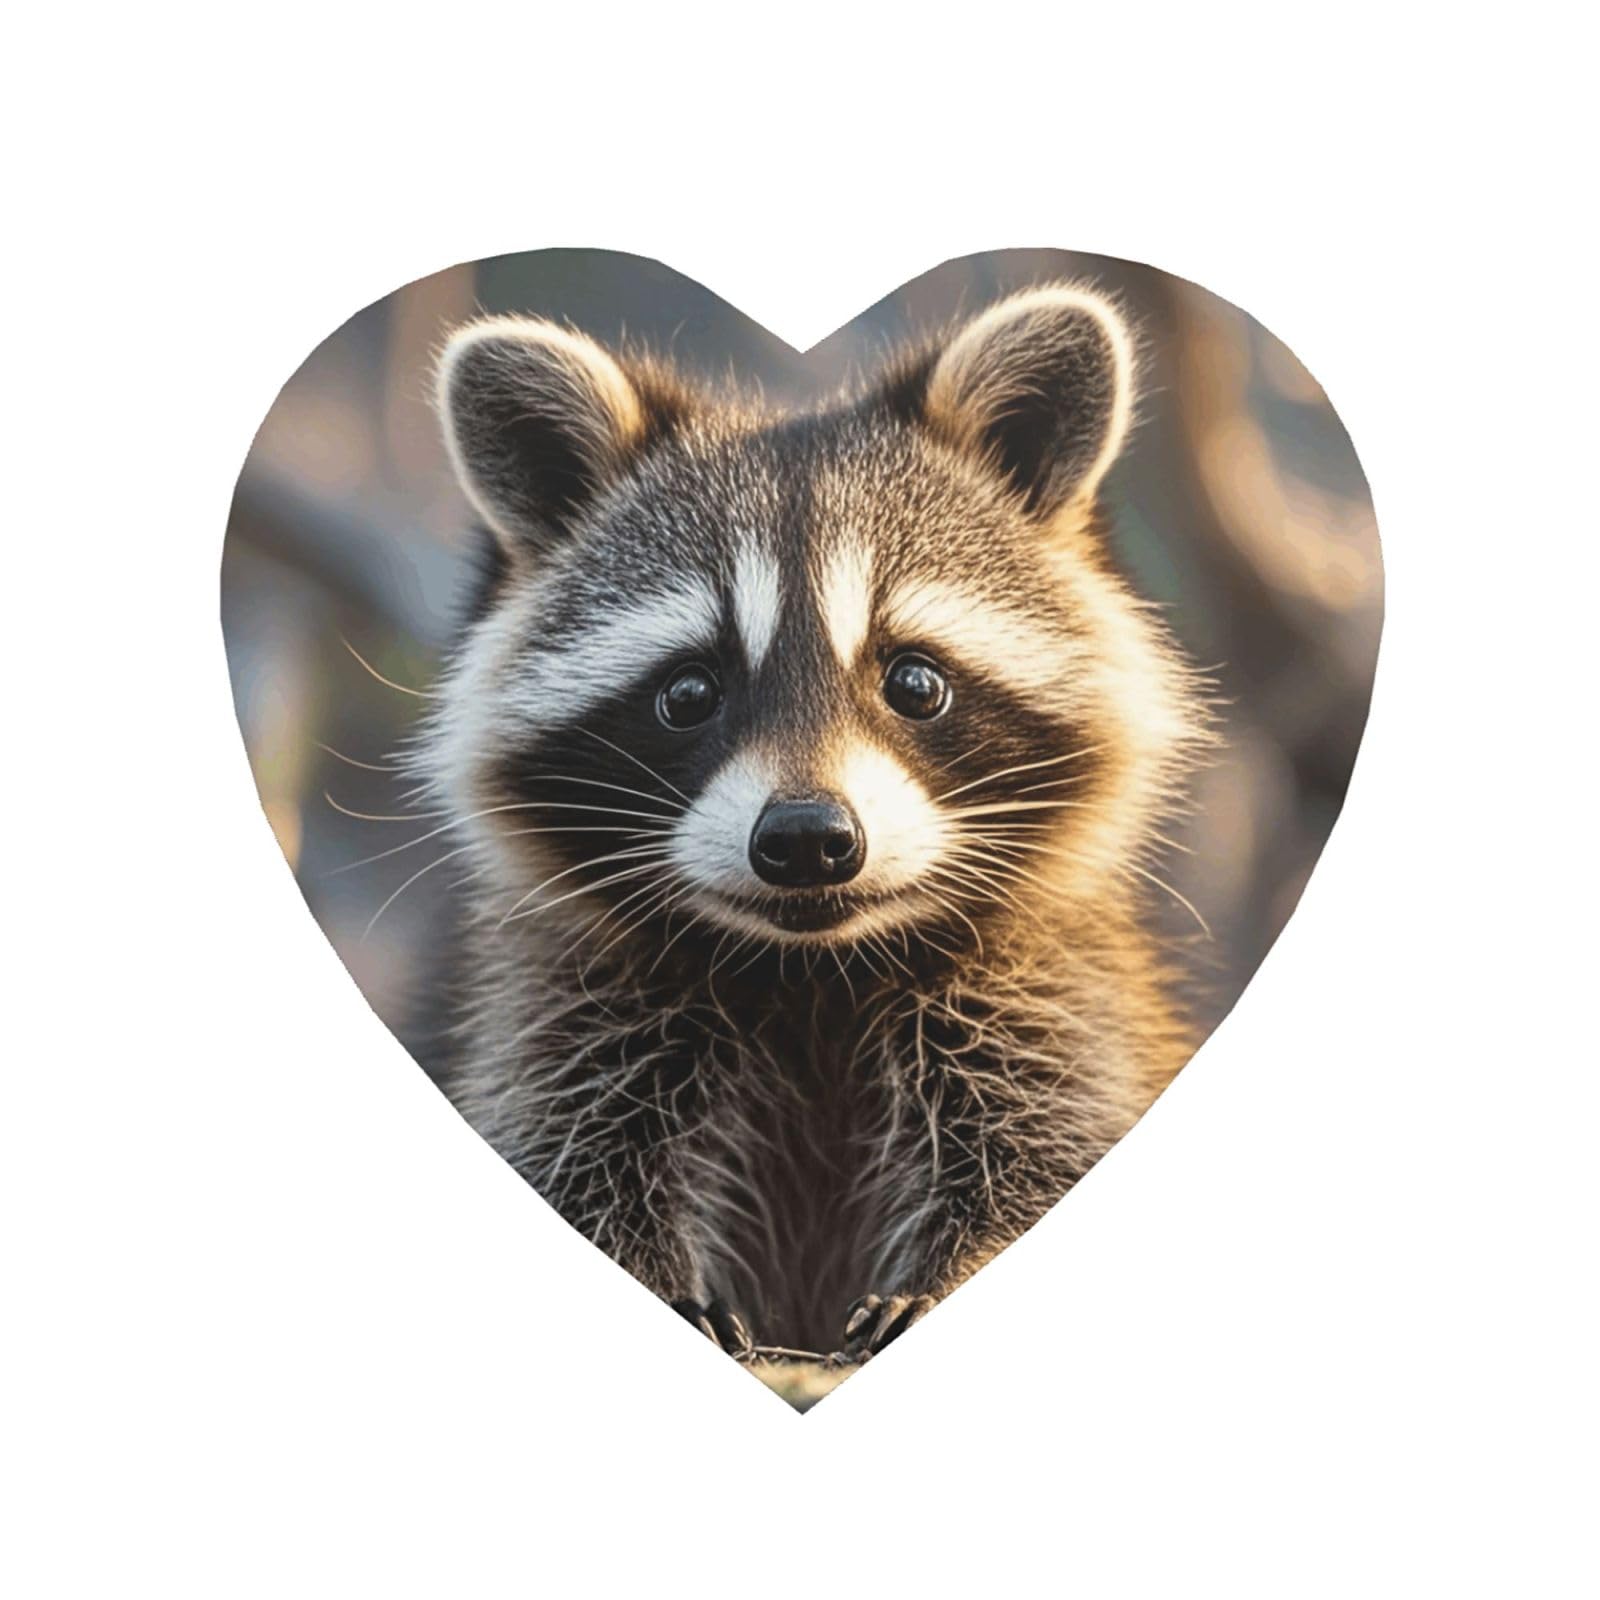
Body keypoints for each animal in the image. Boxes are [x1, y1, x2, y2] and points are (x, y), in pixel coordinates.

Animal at [418, 284, 1211, 1363]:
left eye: (914, 681)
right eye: (689, 693)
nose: (805, 839)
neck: (814, 975)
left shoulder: (1046, 997)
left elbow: (1042, 1149)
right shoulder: (575, 1013)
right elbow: (572, 1160)